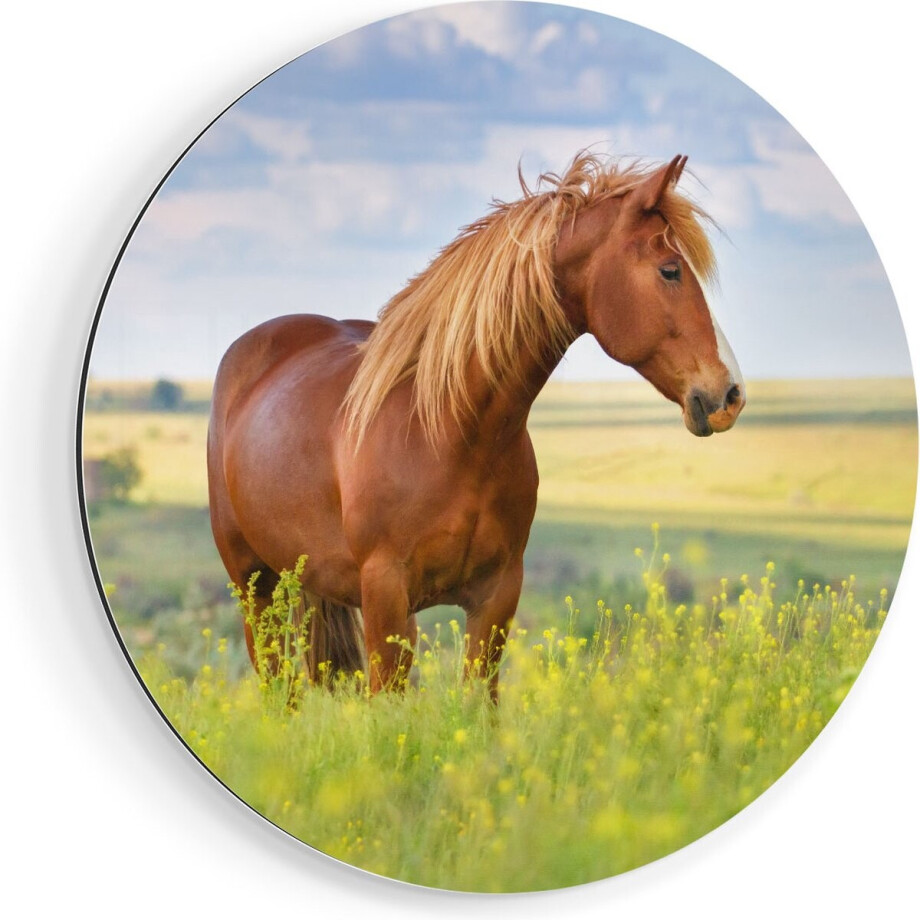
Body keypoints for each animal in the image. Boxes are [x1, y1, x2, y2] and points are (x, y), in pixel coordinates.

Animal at [207, 152, 745, 698]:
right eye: (670, 270)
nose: (730, 394)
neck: (450, 433)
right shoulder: (385, 596)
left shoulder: (496, 596)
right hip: (256, 590)